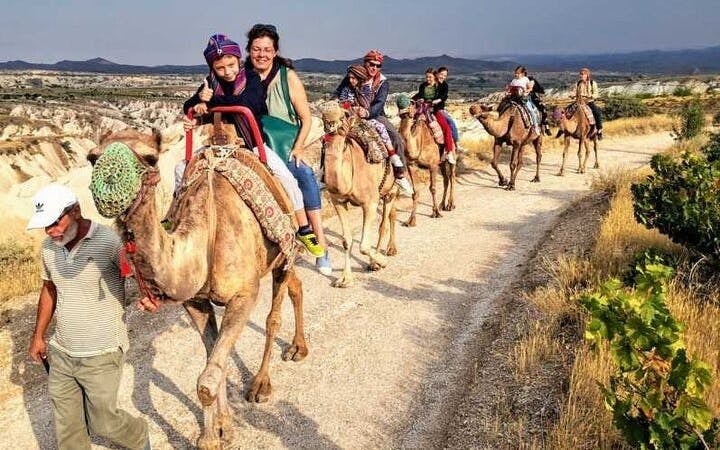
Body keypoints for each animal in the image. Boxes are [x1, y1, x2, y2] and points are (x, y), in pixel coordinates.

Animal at [88, 126, 308, 450]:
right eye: (93, 158)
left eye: (151, 157)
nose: (108, 189)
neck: (205, 237)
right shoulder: (195, 302)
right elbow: (212, 358)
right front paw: (222, 428)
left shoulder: (244, 294)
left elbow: (206, 380)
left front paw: (209, 438)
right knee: (297, 286)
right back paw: (298, 348)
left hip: (283, 251)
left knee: (273, 316)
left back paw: (261, 384)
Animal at [321, 108, 399, 288]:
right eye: (323, 115)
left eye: (342, 116)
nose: (330, 120)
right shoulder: (338, 201)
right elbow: (346, 240)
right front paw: (344, 278)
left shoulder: (369, 202)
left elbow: (363, 246)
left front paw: (380, 262)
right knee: (391, 215)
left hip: (391, 189)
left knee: (384, 224)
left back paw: (380, 258)